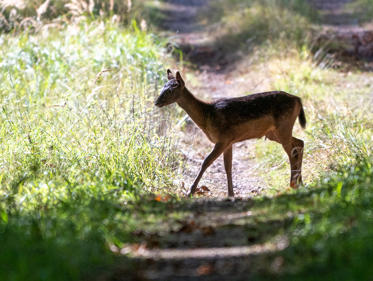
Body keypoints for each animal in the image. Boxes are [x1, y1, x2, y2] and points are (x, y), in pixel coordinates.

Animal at [154, 69, 306, 197]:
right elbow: (228, 167)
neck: (207, 116)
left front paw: (190, 191)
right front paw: (231, 194)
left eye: (171, 90)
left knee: (292, 152)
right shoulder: (229, 141)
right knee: (300, 143)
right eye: (163, 87)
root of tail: (298, 99)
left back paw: (293, 184)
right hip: (273, 132)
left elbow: (206, 162)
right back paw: (300, 182)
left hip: (283, 126)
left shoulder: (223, 139)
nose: (156, 102)